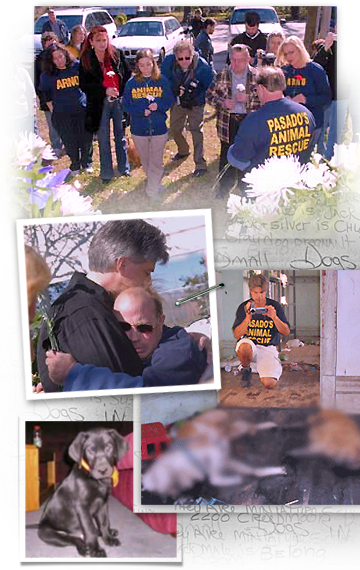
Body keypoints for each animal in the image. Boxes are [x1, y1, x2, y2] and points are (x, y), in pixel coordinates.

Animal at [37, 426, 128, 556]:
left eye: (109, 447)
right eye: (90, 451)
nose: (102, 470)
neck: (96, 481)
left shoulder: (103, 503)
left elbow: (104, 523)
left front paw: (108, 538)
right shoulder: (82, 507)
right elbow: (89, 528)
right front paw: (96, 549)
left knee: (93, 531)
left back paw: (110, 532)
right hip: (47, 533)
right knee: (75, 539)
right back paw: (84, 548)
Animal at [142, 408, 286, 496]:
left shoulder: (216, 455)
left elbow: (217, 478)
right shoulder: (225, 460)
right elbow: (249, 470)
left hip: (234, 429)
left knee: (250, 426)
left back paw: (268, 425)